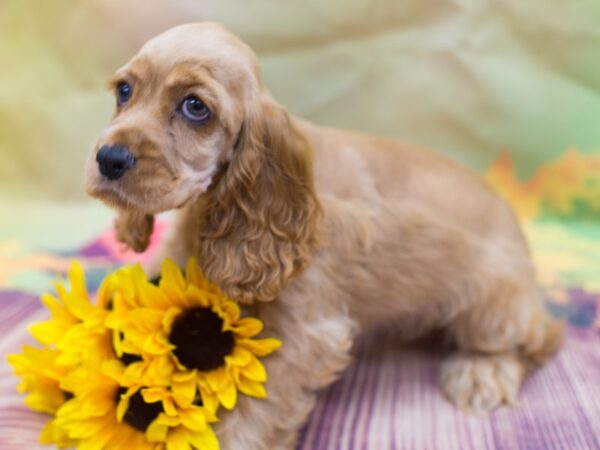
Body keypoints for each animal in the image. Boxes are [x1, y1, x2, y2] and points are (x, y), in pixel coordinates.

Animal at [84, 22, 564, 450]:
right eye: (124, 91)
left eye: (195, 107)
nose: (108, 158)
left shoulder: (307, 334)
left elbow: (254, 416)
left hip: (491, 305)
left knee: (539, 338)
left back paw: (482, 373)